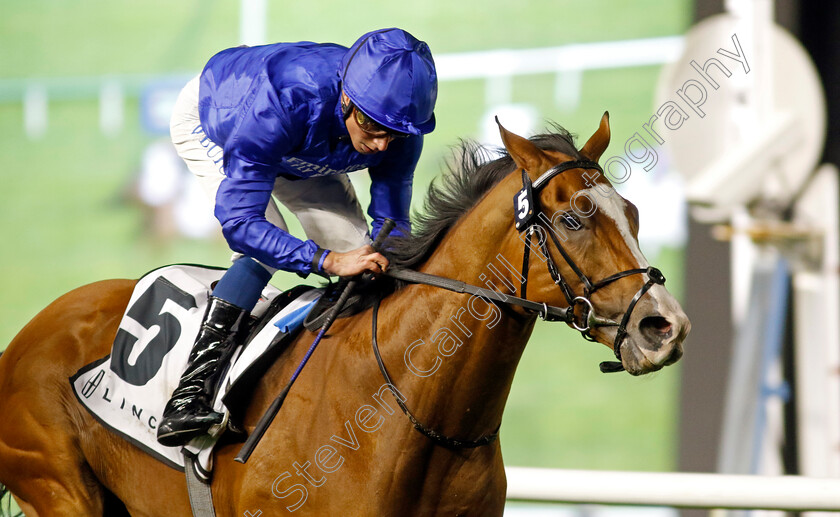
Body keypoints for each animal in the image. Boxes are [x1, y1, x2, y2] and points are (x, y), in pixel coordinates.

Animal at [0, 117, 688, 516]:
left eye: (631, 211)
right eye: (572, 219)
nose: (666, 326)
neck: (412, 414)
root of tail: (33, 329)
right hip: (57, 486)